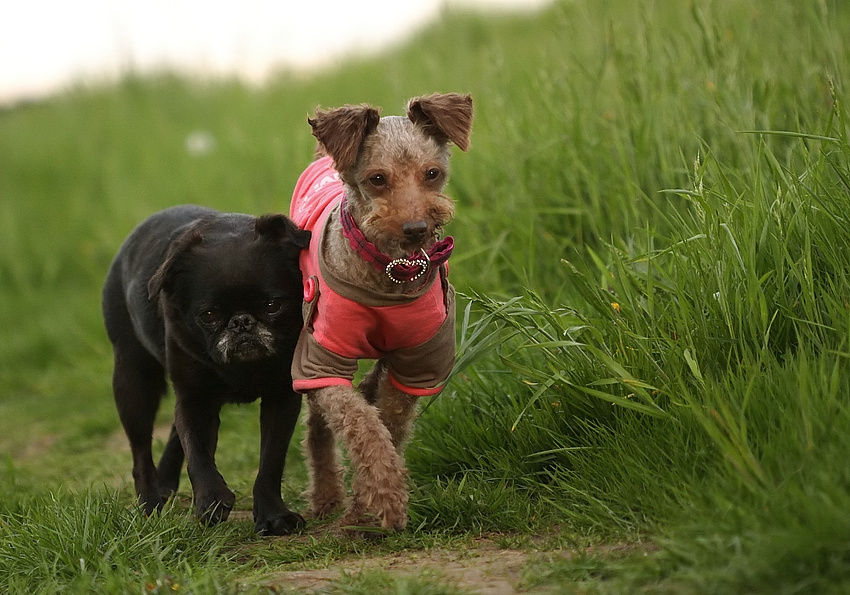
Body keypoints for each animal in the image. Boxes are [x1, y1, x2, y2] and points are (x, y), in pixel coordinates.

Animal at [101, 205, 310, 536]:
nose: (241, 322)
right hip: (133, 381)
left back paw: (164, 482)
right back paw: (150, 504)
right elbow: (197, 451)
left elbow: (270, 460)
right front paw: (211, 498)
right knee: (140, 453)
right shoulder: (194, 400)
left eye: (272, 305)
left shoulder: (281, 398)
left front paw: (273, 515)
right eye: (209, 315)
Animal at [284, 93, 470, 532]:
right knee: (318, 430)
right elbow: (365, 426)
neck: (389, 274)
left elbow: (390, 424)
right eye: (377, 179)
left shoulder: (418, 362)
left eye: (433, 173)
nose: (416, 228)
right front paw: (382, 501)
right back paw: (325, 498)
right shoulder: (322, 360)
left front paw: (364, 509)